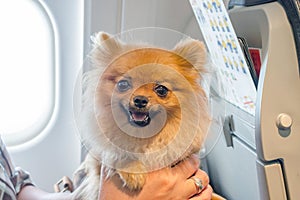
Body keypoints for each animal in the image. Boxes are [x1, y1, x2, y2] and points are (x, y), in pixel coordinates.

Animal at [73, 32, 211, 199]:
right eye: (123, 84)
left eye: (161, 90)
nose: (140, 100)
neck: (145, 136)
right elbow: (117, 152)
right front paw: (133, 170)